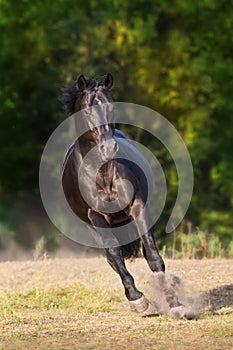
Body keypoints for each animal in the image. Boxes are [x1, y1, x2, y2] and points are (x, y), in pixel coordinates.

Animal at [61, 73, 165, 312]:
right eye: (87, 110)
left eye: (111, 107)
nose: (108, 148)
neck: (103, 174)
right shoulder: (97, 217)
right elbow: (115, 255)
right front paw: (136, 298)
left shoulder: (137, 206)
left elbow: (152, 254)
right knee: (111, 257)